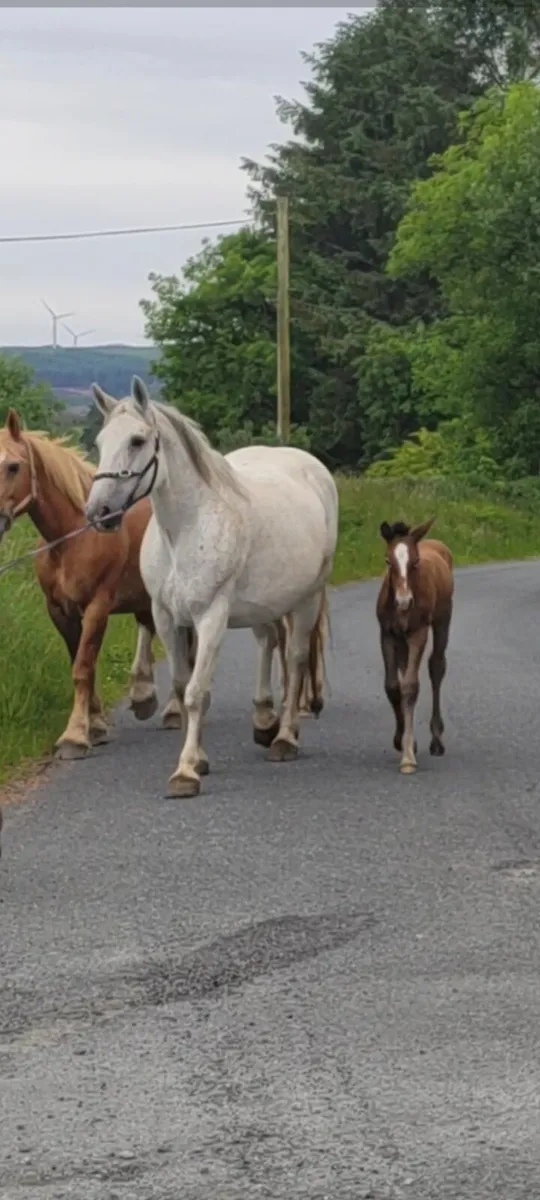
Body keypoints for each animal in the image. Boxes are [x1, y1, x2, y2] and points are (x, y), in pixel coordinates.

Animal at [0, 408, 187, 759]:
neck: (73, 537)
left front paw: (74, 736)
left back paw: (172, 710)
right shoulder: (60, 611)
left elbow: (83, 668)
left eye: (13, 466)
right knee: (148, 629)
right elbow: (80, 662)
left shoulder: (97, 607)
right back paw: (144, 694)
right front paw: (96, 724)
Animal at [85, 377, 338, 798]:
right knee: (268, 643)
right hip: (264, 605)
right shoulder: (166, 618)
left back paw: (285, 737)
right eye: (101, 442)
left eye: (137, 440)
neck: (186, 530)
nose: (98, 513)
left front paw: (185, 772)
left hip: (307, 598)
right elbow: (182, 685)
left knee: (296, 658)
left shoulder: (211, 617)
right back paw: (265, 721)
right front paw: (198, 759)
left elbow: (196, 692)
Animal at [376, 518, 453, 774]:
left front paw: (408, 757)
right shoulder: (387, 635)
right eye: (388, 561)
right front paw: (402, 741)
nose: (403, 601)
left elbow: (410, 686)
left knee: (437, 666)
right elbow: (393, 686)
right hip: (401, 641)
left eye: (416, 561)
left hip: (442, 620)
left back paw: (437, 740)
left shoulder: (417, 633)